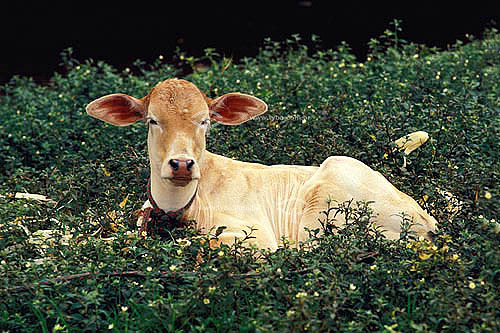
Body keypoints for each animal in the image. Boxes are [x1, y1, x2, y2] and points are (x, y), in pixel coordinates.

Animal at [87, 78, 438, 249]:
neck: (178, 209)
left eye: (205, 122)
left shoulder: (257, 235)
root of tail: (426, 219)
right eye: (152, 120)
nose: (182, 164)